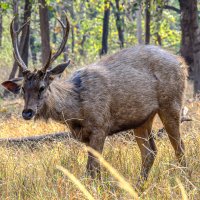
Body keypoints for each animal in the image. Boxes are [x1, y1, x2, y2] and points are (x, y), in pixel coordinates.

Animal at [1, 15, 188, 188]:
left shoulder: (100, 126)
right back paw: (138, 187)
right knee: (150, 152)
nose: (27, 112)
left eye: (42, 87)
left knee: (179, 147)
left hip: (171, 103)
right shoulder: (84, 136)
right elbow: (93, 170)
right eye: (23, 89)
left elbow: (93, 169)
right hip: (142, 119)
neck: (77, 111)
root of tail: (181, 63)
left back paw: (185, 181)